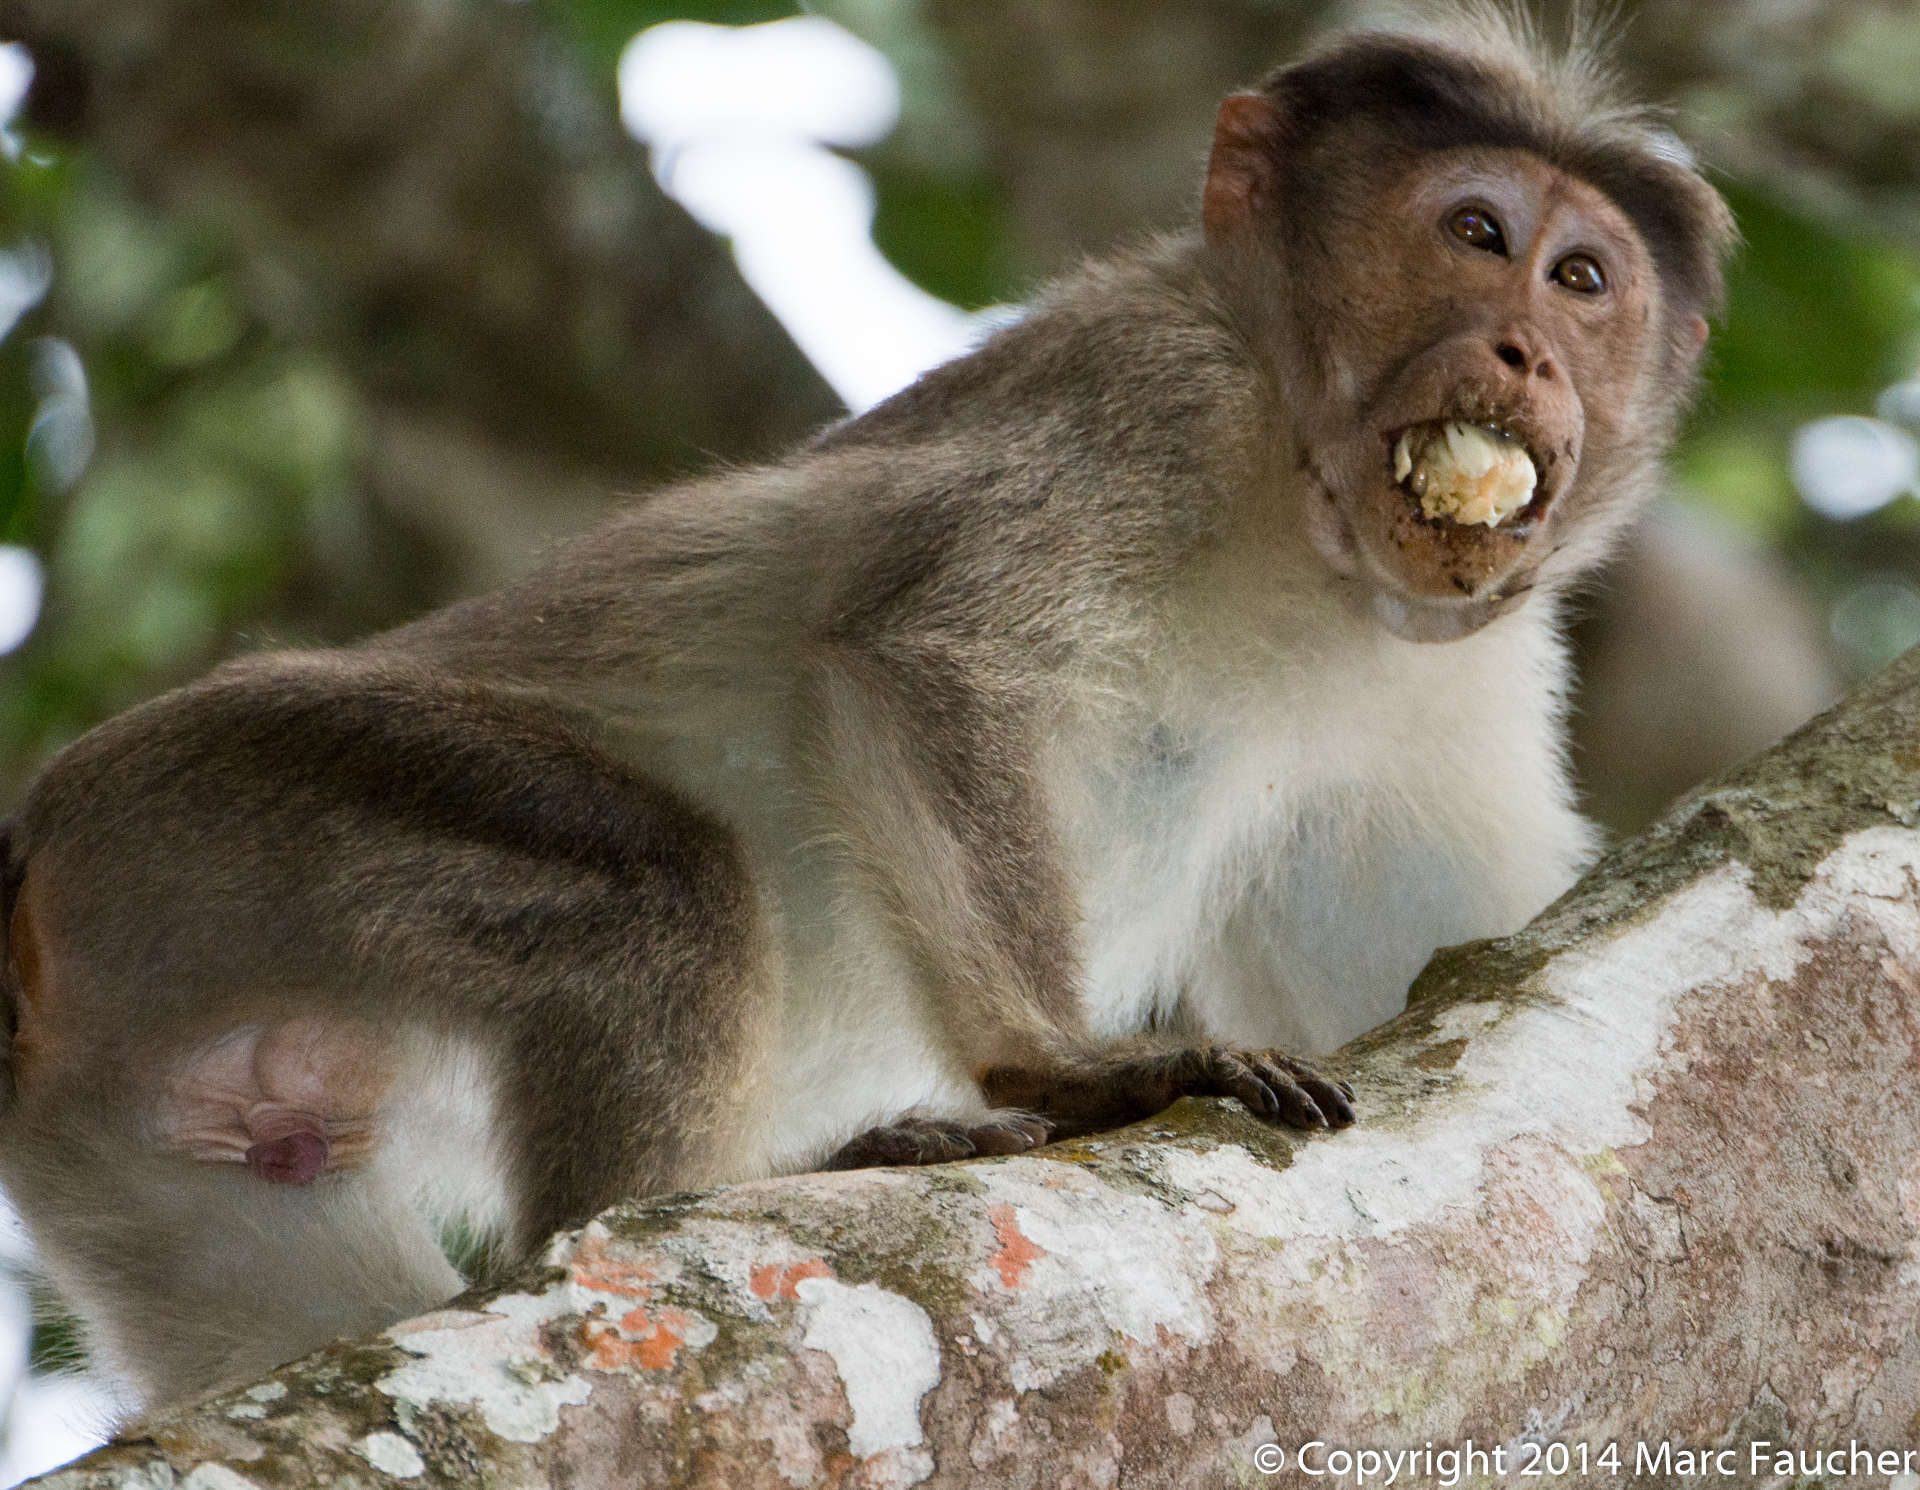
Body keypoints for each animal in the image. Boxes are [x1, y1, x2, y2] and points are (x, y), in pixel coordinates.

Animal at [0, 9, 1734, 1413]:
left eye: (1584, 280)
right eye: (1475, 230)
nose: (1526, 349)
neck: (1317, 541)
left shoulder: (1471, 675)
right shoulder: (1148, 395)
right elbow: (923, 656)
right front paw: (1065, 1066)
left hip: (150, 1132)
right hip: (202, 815)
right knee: (643, 883)